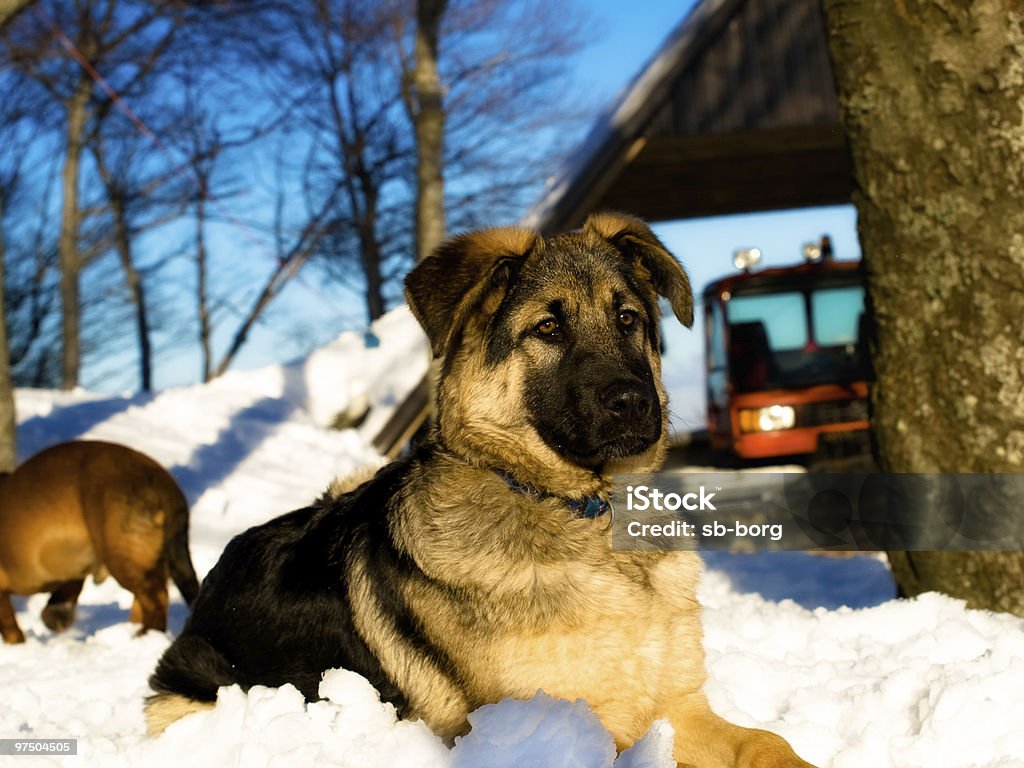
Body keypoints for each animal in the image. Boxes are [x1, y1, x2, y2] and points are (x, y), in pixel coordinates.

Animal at [0, 438, 198, 643]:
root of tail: (162, 482)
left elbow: (9, 625)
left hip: (122, 556)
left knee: (156, 597)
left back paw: (146, 635)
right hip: (151, 559)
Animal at [146, 211, 815, 768]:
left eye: (627, 319)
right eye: (548, 328)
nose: (634, 403)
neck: (578, 511)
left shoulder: (678, 707)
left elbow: (769, 743)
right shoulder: (578, 728)